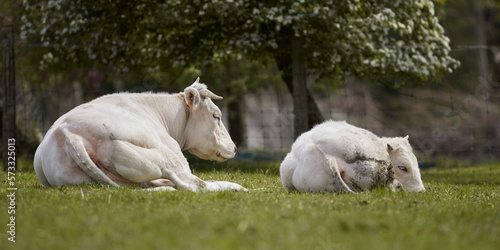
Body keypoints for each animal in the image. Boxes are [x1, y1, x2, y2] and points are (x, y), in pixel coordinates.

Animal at [33, 77, 248, 191]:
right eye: (216, 116)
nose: (235, 147)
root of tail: (67, 131)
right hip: (166, 157)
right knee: (194, 184)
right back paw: (237, 187)